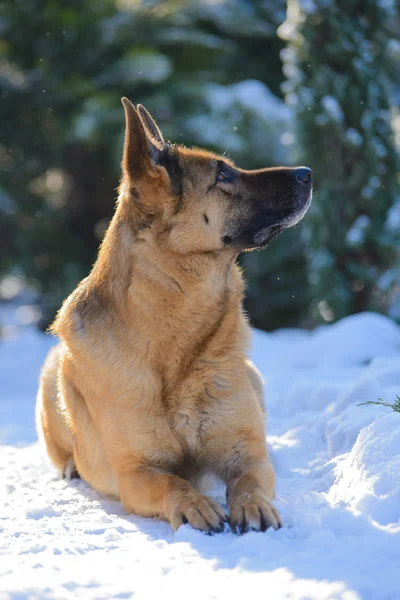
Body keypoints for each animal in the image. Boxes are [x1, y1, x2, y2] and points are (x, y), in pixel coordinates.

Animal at [36, 99, 312, 536]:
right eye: (224, 175)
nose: (309, 173)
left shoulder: (246, 453)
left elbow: (249, 479)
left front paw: (253, 506)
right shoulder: (136, 473)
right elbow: (173, 483)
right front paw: (196, 504)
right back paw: (70, 468)